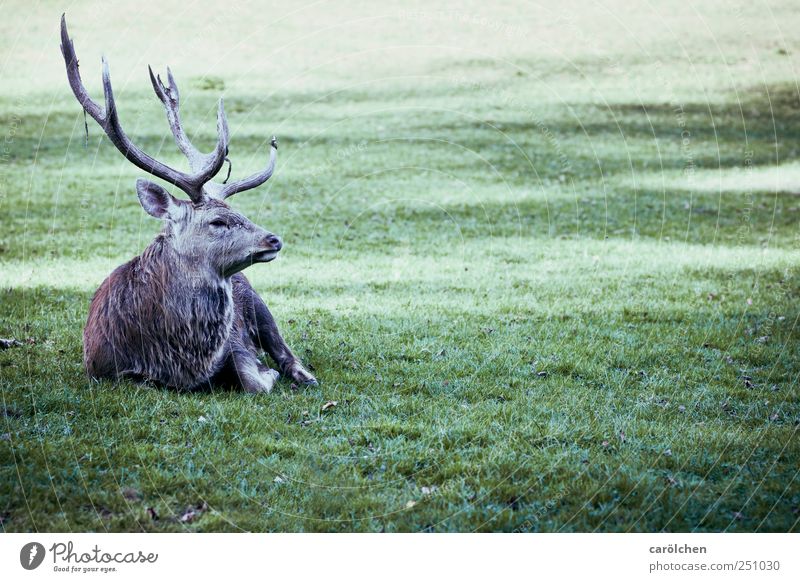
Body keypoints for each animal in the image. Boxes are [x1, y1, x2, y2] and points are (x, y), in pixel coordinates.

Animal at [60, 16, 316, 394]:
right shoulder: (102, 369)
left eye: (241, 213)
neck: (180, 361)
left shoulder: (235, 341)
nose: (274, 239)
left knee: (285, 349)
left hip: (256, 299)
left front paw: (265, 372)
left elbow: (251, 378)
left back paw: (303, 375)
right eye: (218, 221)